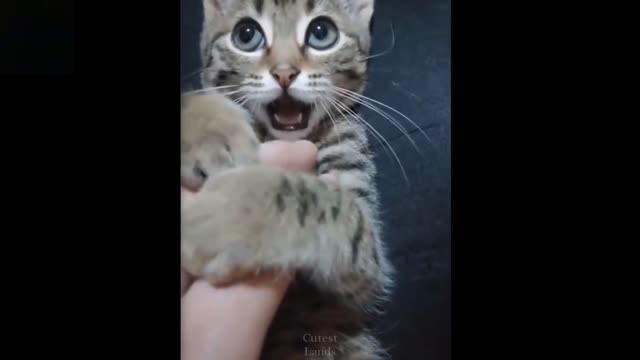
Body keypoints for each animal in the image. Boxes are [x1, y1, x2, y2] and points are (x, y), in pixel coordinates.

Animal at [178, 1, 392, 358]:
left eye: (322, 33)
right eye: (246, 35)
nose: (284, 73)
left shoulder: (366, 274)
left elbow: (336, 209)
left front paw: (228, 216)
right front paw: (208, 128)